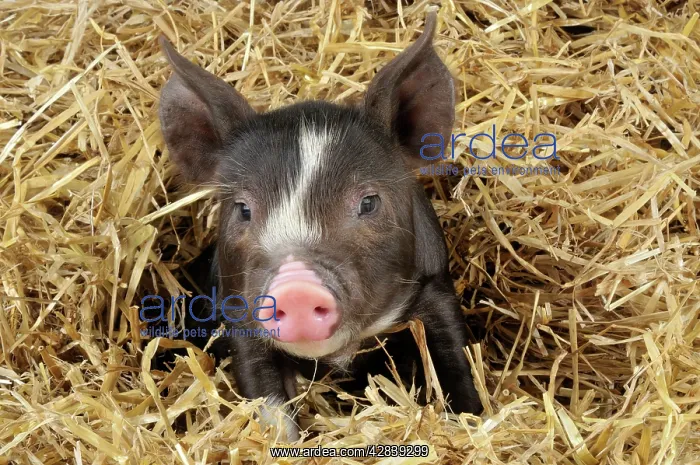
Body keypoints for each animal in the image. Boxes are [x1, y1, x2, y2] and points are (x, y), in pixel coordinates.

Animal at [157, 11, 482, 441]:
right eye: (243, 209)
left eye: (368, 202)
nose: (295, 287)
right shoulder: (238, 316)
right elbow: (269, 404)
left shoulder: (436, 287)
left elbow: (456, 365)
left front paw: (471, 420)